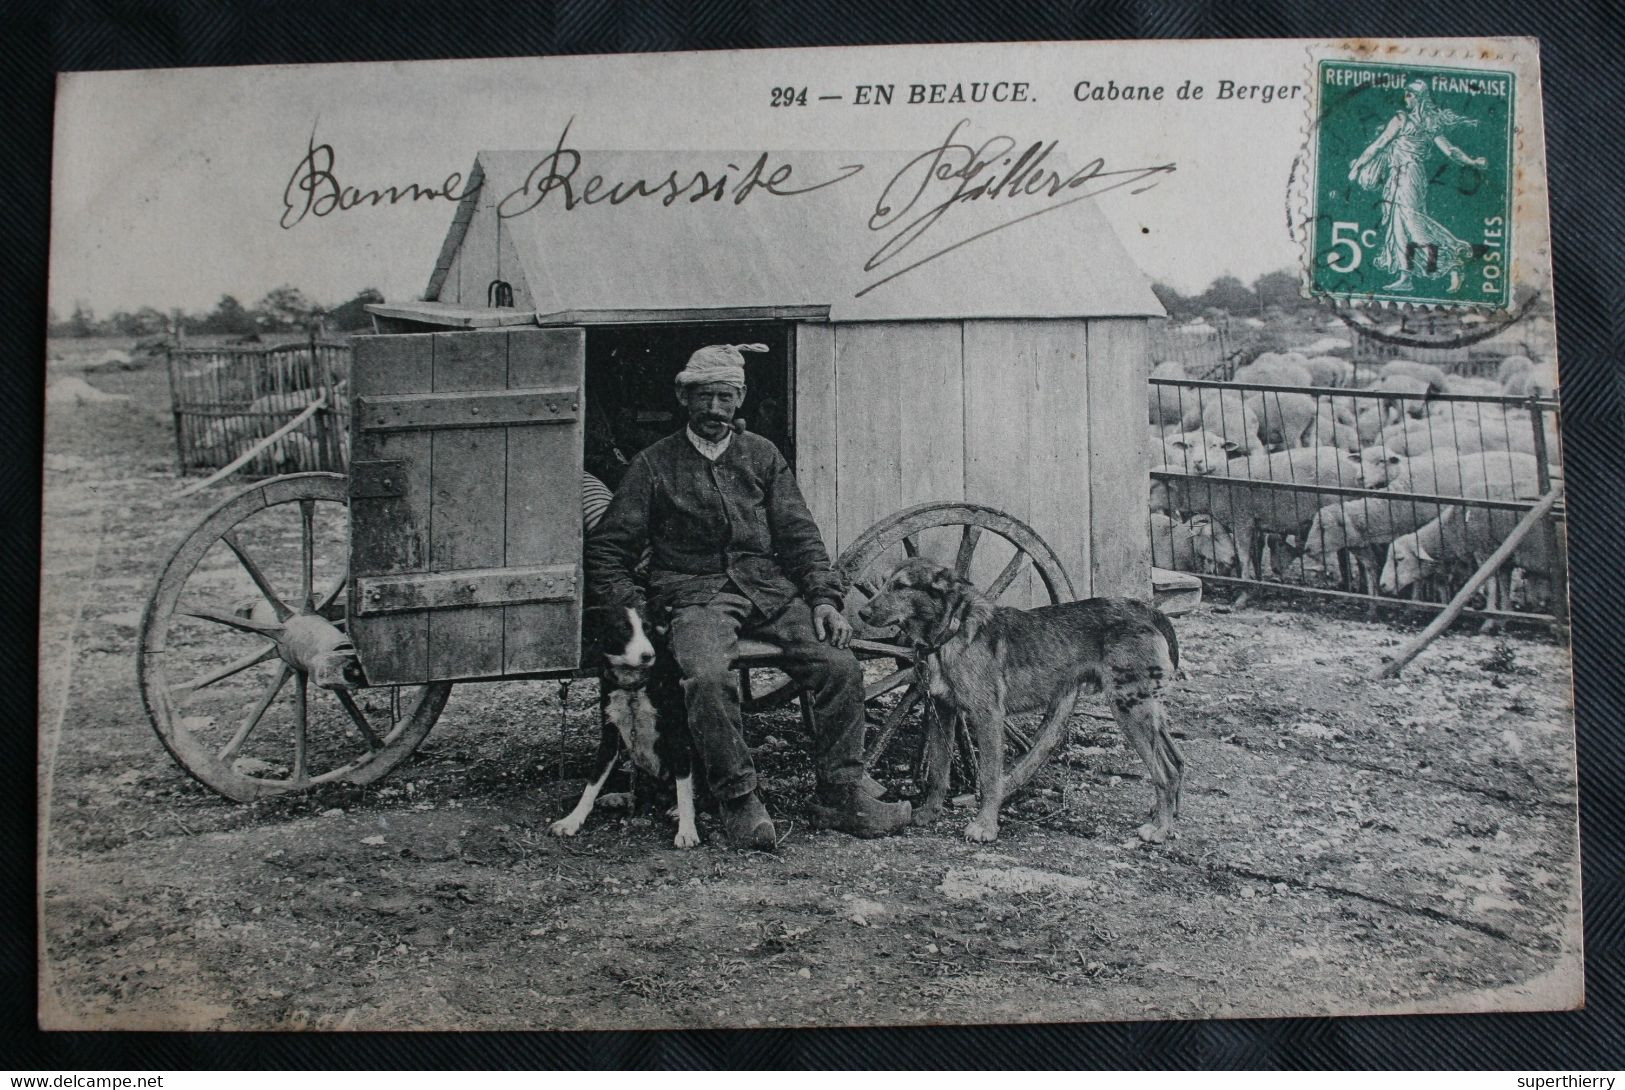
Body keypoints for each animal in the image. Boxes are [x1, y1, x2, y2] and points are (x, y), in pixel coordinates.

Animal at [549, 604, 702, 851]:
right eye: (624, 630)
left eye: (647, 628)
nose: (648, 655)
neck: (632, 685)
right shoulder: (610, 736)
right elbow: (593, 783)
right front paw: (572, 820)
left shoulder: (677, 735)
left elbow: (684, 786)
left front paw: (687, 829)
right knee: (639, 790)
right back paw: (619, 797)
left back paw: (676, 809)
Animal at [864, 562, 1183, 844]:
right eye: (882, 581)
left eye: (901, 586)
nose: (861, 611)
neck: (951, 632)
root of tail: (1148, 611)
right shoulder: (942, 711)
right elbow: (938, 771)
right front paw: (929, 813)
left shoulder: (988, 716)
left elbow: (989, 778)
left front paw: (985, 826)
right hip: (1146, 710)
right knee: (1177, 760)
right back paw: (1165, 817)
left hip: (1130, 709)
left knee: (1165, 771)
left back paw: (1159, 829)